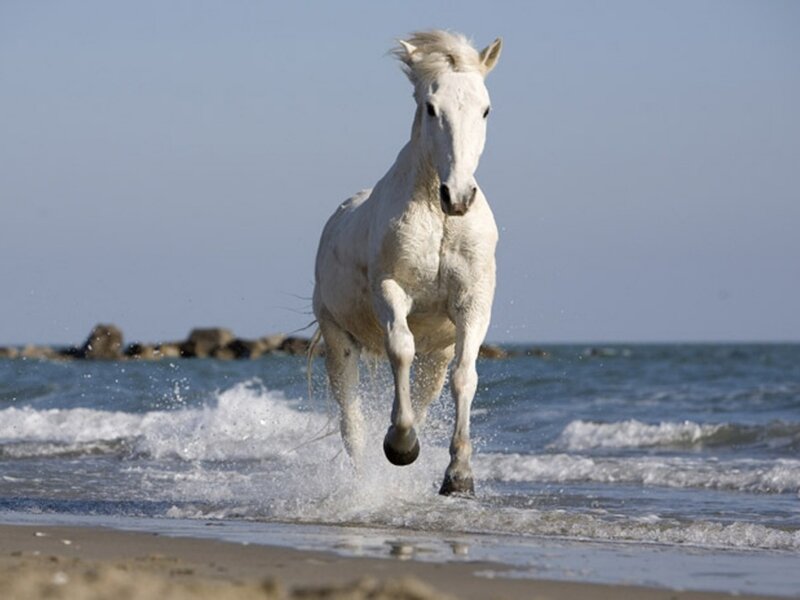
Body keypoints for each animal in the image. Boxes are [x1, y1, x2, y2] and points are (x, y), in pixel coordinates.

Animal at [312, 30, 502, 496]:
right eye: (431, 107)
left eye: (485, 108)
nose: (459, 197)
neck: (439, 217)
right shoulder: (390, 290)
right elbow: (400, 349)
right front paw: (400, 445)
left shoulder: (474, 304)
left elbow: (465, 377)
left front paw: (459, 476)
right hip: (337, 338)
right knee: (352, 421)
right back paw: (366, 480)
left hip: (437, 353)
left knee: (427, 391)